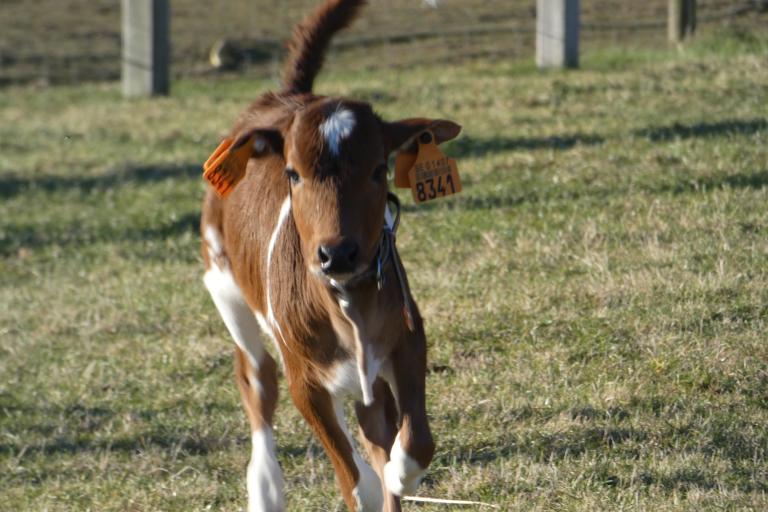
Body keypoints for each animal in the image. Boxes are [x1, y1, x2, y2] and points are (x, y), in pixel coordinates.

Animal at [201, 2, 460, 510]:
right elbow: (356, 481)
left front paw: (399, 473)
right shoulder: (305, 379)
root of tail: (287, 96)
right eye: (292, 173)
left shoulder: (406, 340)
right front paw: (374, 479)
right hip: (223, 284)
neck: (346, 301)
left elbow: (413, 442)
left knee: (372, 426)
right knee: (257, 378)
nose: (337, 252)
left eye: (379, 169)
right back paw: (265, 487)